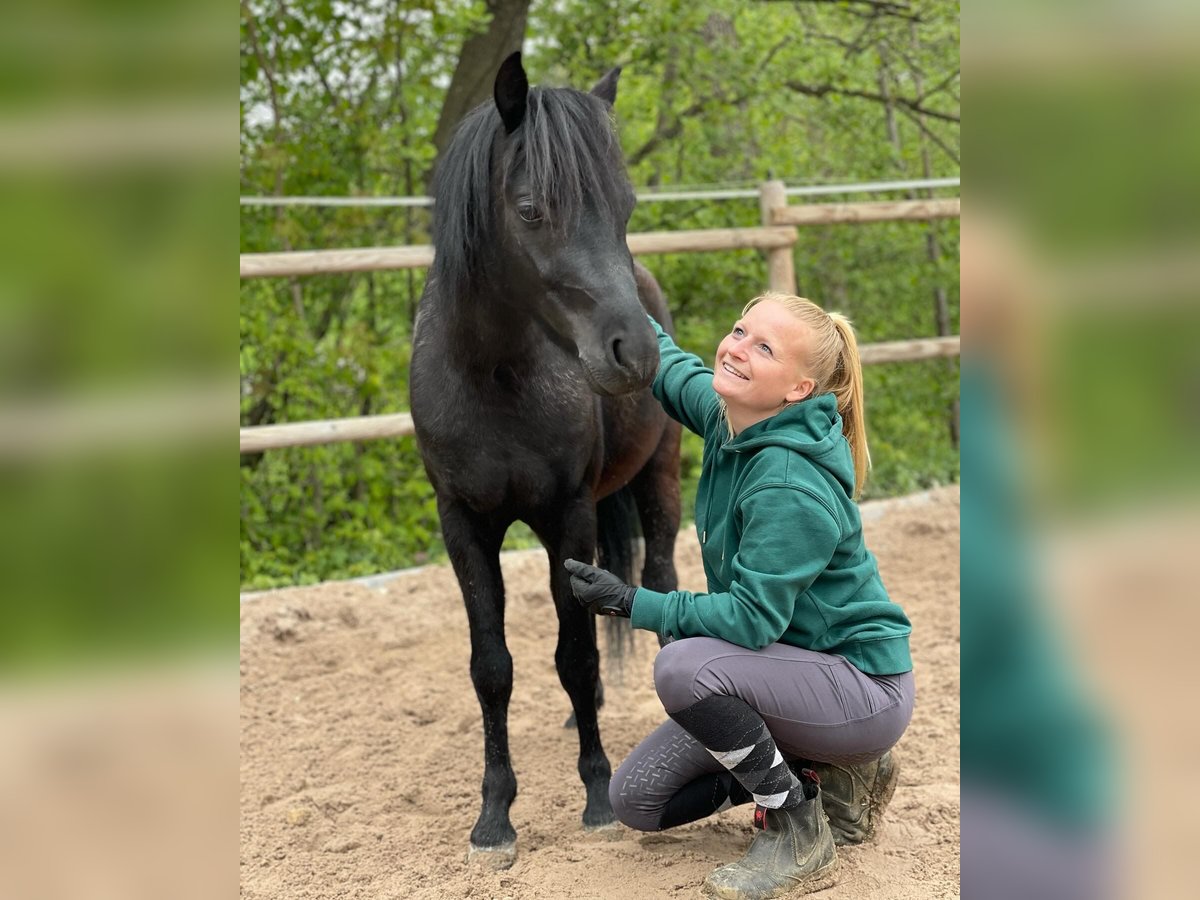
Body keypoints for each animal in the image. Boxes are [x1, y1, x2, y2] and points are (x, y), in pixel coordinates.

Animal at [410, 52, 676, 868]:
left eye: (625, 207)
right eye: (530, 211)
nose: (636, 352)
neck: (492, 375)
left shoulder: (569, 516)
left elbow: (577, 655)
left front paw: (597, 795)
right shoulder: (463, 525)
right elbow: (492, 667)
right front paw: (494, 816)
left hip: (660, 480)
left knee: (662, 579)